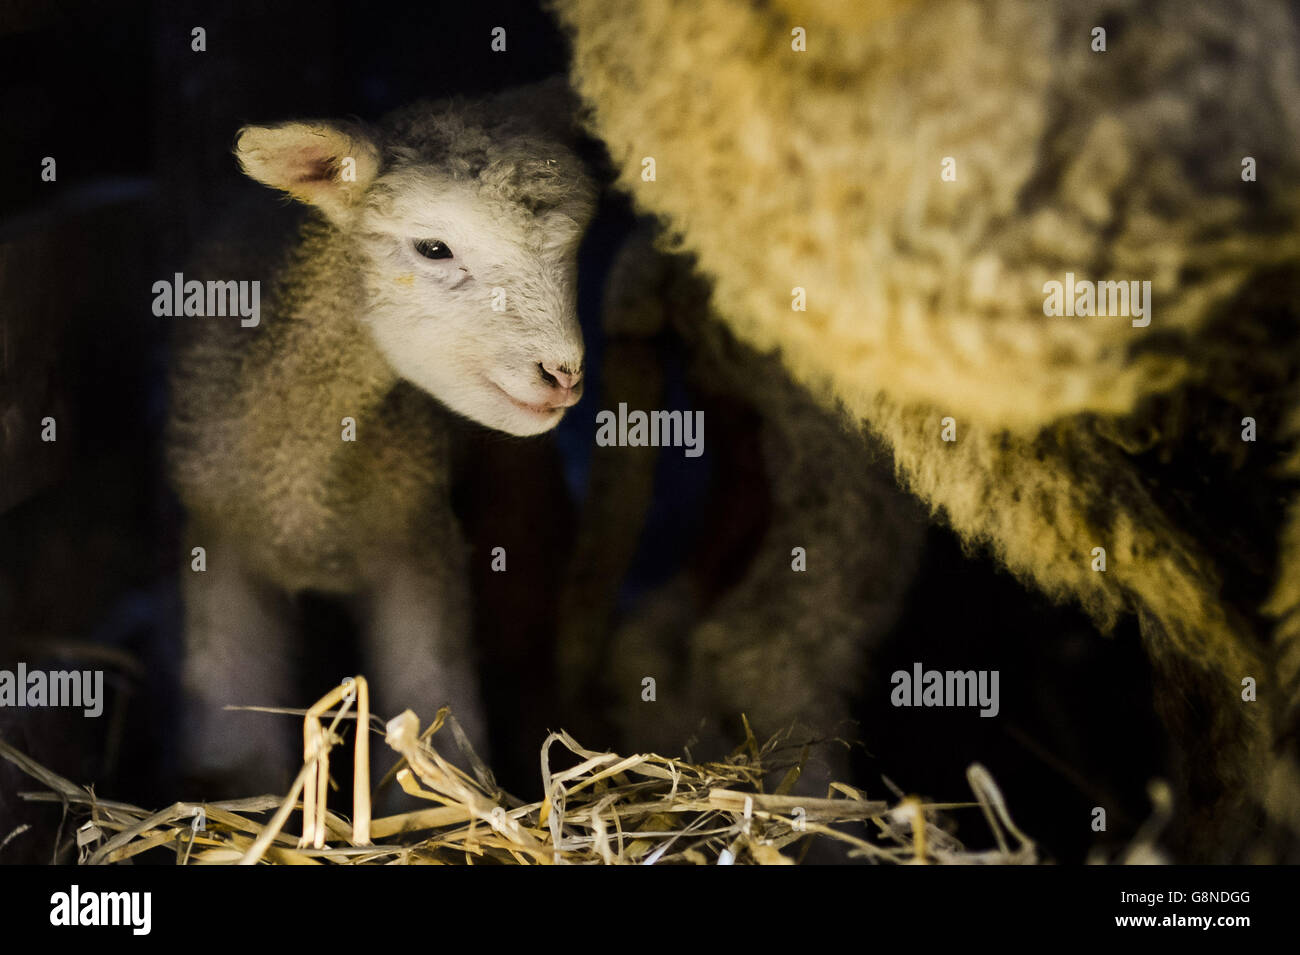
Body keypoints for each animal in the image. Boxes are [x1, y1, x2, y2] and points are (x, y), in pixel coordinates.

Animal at [166, 80, 596, 792]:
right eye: (433, 248)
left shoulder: (420, 546)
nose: (562, 374)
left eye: (574, 247)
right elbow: (236, 756)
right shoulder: (218, 548)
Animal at [553, 0, 1300, 855]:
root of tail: (662, 259)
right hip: (850, 453)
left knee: (670, 630)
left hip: (766, 451)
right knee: (764, 642)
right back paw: (825, 822)